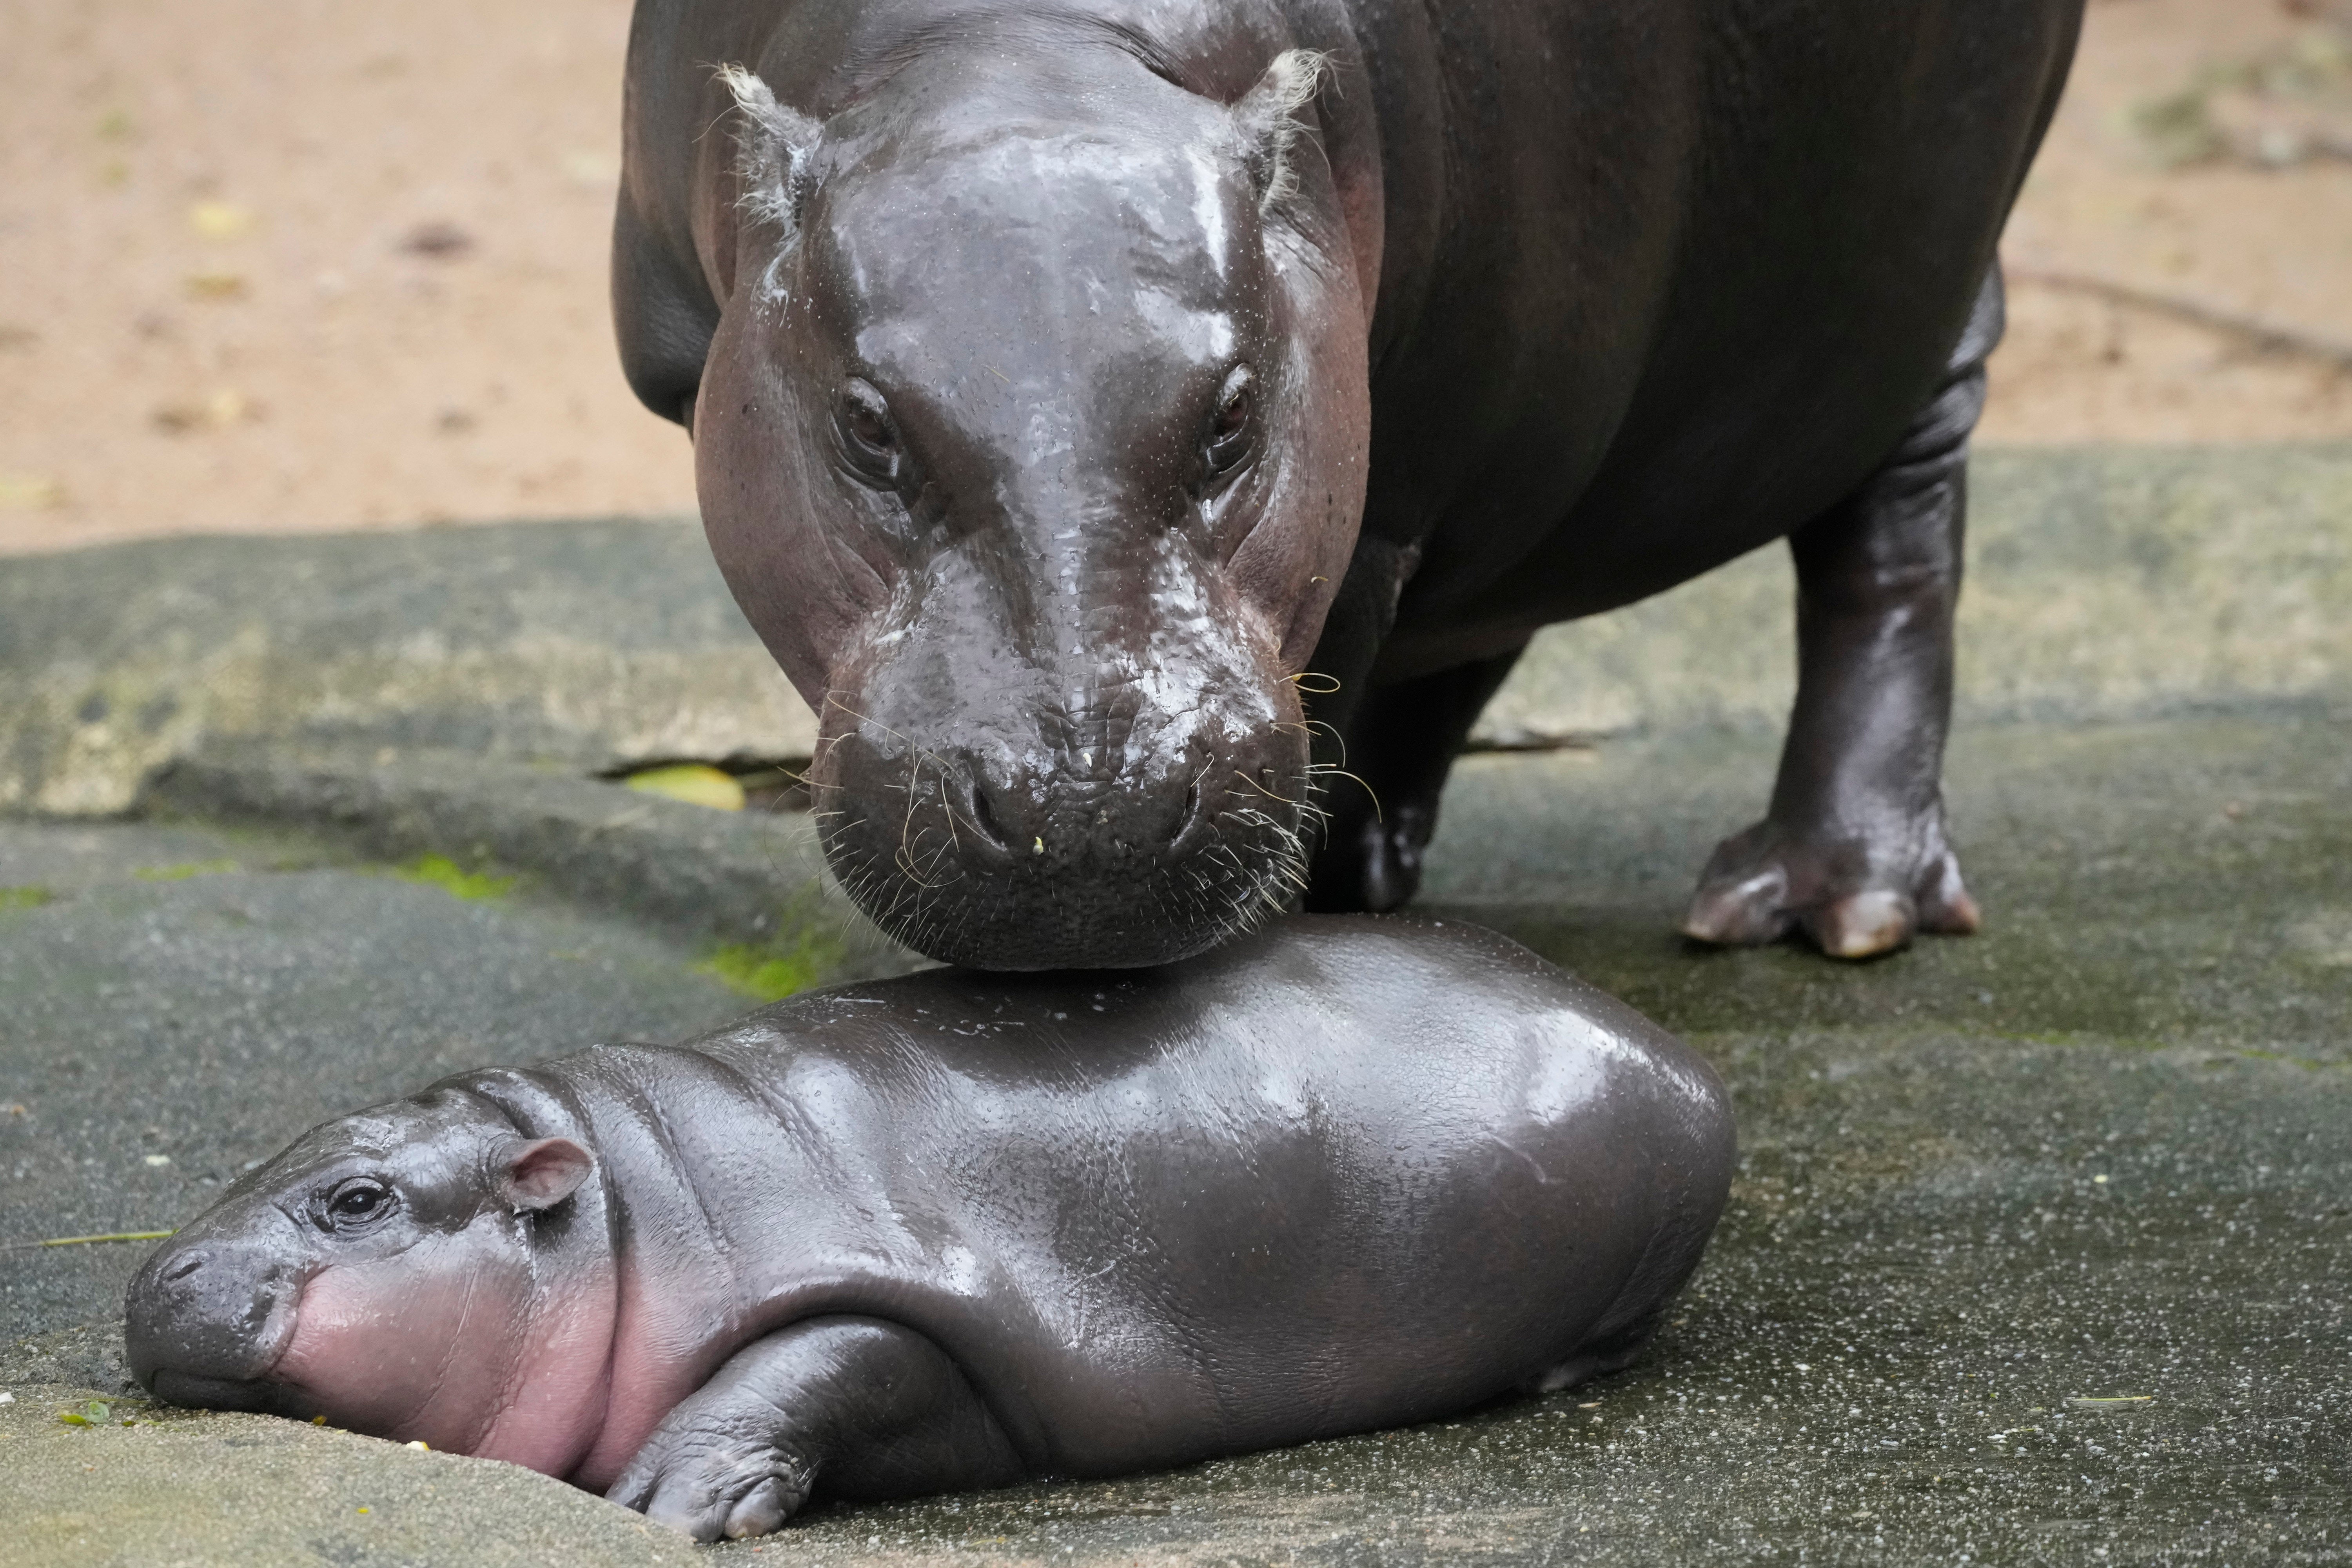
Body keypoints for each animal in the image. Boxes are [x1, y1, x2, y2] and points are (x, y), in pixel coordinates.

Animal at [133, 912, 1750, 1542]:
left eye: (359, 1200)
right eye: (276, 1152)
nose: (162, 1276)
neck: (622, 1204)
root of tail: (1670, 1045)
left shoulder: (913, 1296)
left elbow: (816, 1362)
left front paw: (664, 1500)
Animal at [616, 0, 2089, 973]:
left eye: (1231, 418)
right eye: (867, 430)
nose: (1089, 808)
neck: (1019, 57)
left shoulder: (1381, 497)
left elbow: (1335, 684)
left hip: (1911, 299)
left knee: (1891, 546)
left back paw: (1826, 903)